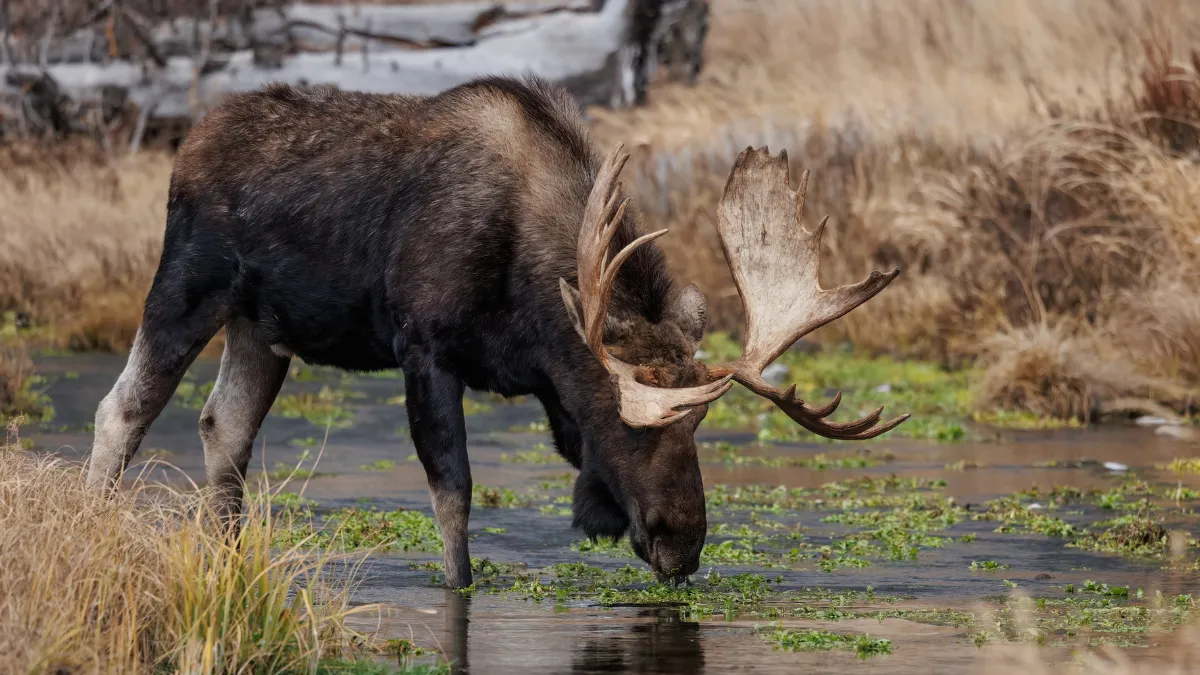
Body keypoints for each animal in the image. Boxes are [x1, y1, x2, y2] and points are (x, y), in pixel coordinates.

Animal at [84, 75, 907, 589]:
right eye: (630, 422)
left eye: (700, 423)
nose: (683, 543)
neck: (532, 315)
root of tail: (187, 144)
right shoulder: (423, 349)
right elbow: (454, 497)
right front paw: (459, 588)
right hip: (188, 283)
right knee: (122, 408)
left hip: (262, 328)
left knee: (223, 426)